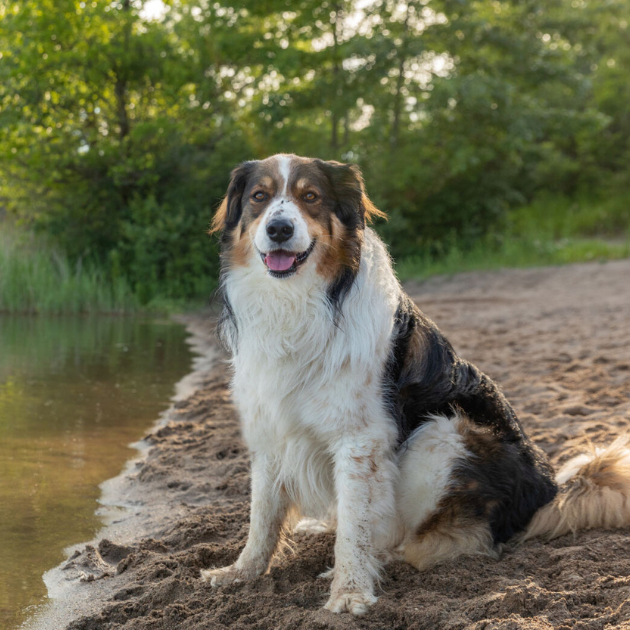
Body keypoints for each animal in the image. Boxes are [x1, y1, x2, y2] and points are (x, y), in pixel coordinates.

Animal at [202, 154, 630, 616]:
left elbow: (355, 527)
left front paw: (350, 590)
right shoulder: (269, 428)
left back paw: (378, 557)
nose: (279, 229)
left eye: (310, 197)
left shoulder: (362, 439)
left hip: (443, 432)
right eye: (259, 197)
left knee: (433, 541)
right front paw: (241, 573)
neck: (298, 302)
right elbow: (262, 515)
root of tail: (548, 492)